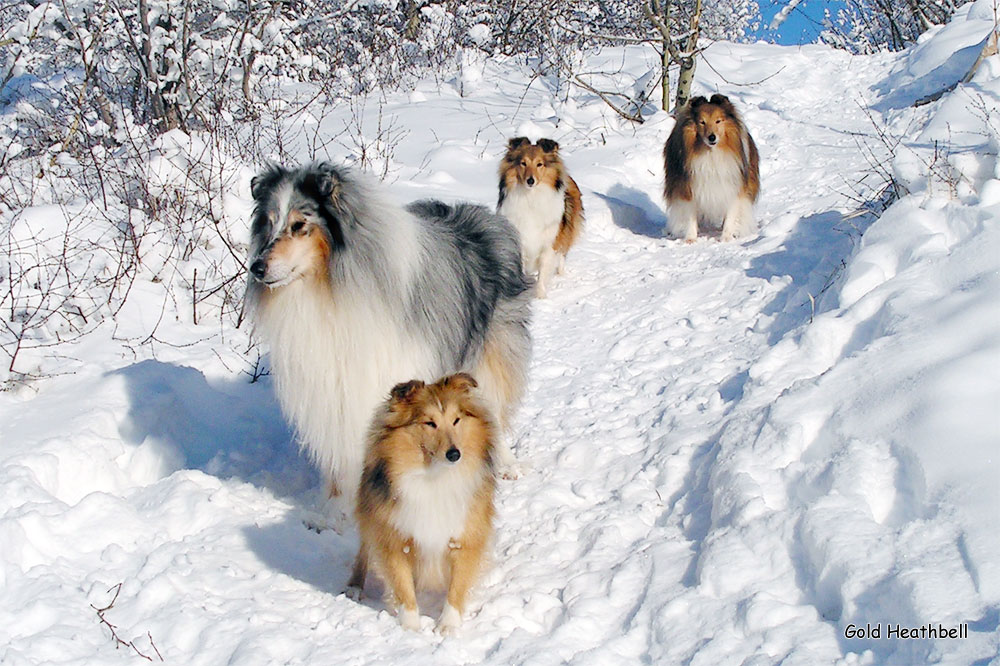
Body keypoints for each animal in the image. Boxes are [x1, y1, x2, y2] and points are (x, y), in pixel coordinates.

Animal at [348, 374, 496, 632]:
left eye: (456, 420)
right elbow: (403, 586)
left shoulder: (466, 534)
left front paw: (448, 626)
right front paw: (411, 628)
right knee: (364, 550)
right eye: (429, 423)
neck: (435, 476)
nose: (454, 454)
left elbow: (457, 585)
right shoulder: (394, 537)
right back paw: (354, 587)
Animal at [496, 136, 584, 296]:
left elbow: (543, 271)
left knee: (562, 255)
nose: (530, 181)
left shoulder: (549, 242)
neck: (531, 197)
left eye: (539, 164)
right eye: (523, 163)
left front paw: (540, 296)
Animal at [660, 92, 760, 240]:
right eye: (702, 122)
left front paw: (725, 238)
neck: (711, 154)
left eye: (718, 121)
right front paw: (690, 239)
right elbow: (690, 215)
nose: (712, 137)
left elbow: (730, 215)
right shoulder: (688, 187)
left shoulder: (733, 186)